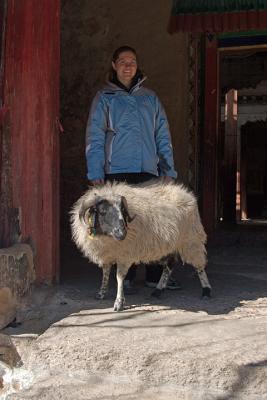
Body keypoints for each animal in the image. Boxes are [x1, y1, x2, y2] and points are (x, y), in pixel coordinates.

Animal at [70, 180, 213, 310]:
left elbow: (119, 277)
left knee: (199, 267)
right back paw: (158, 291)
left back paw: (206, 291)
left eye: (122, 210)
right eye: (103, 211)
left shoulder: (124, 255)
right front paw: (101, 293)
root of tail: (186, 194)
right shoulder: (107, 254)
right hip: (171, 245)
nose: (122, 233)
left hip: (191, 241)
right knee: (169, 266)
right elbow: (105, 273)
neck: (106, 237)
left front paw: (119, 302)